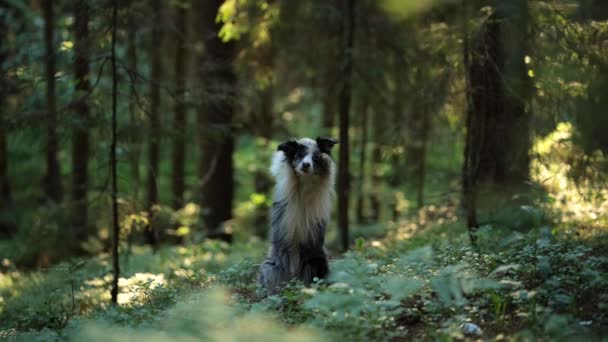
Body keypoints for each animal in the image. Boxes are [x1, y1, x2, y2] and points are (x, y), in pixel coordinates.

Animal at [258, 136, 340, 294]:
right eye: (299, 155)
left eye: (316, 157)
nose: (306, 165)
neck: (305, 184)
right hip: (270, 267)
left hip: (317, 262)